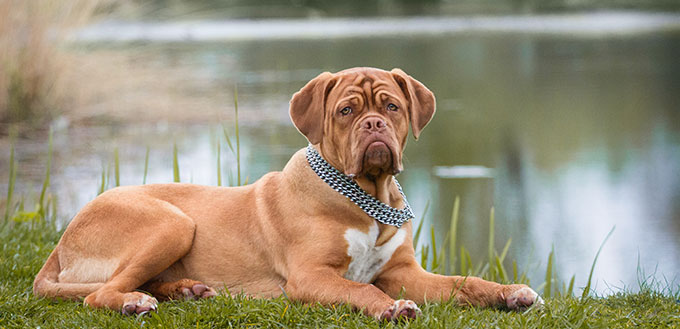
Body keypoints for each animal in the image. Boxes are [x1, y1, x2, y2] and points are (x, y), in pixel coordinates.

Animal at [33, 67, 540, 320]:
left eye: (392, 106)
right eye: (346, 111)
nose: (374, 125)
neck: (366, 198)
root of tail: (62, 240)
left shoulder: (404, 273)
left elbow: (464, 283)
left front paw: (509, 293)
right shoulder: (311, 277)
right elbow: (361, 290)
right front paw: (392, 309)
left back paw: (187, 289)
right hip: (172, 222)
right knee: (101, 293)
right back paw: (135, 302)